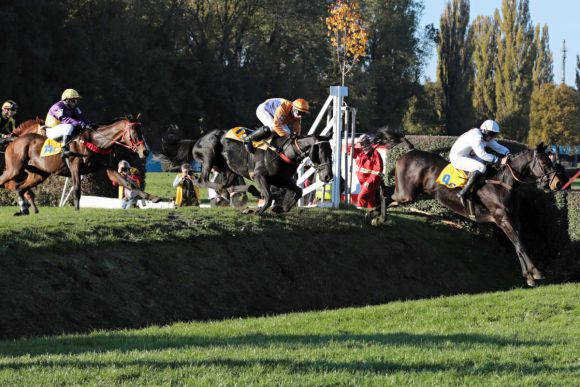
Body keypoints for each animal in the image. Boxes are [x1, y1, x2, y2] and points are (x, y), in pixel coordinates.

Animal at [374, 128, 564, 288]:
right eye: (543, 160)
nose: (557, 183)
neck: (502, 183)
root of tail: (411, 150)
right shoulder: (502, 218)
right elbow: (519, 243)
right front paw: (536, 272)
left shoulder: (513, 219)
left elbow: (518, 244)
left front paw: (529, 275)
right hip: (407, 193)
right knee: (385, 194)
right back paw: (379, 217)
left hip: (412, 193)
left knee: (387, 193)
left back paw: (375, 214)